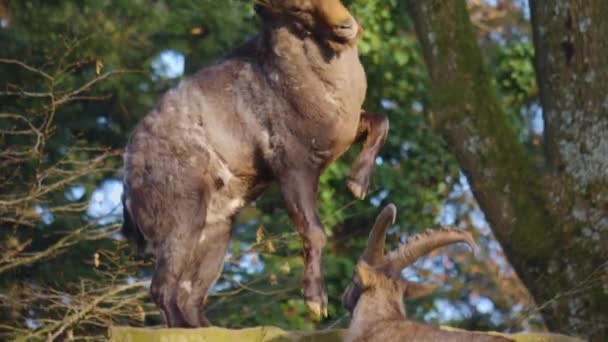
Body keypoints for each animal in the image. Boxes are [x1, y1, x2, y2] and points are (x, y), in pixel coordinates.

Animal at [121, 0, 390, 328]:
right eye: (298, 10)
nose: (347, 26)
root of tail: (127, 187)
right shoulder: (293, 166)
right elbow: (313, 230)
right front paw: (316, 302)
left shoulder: (345, 131)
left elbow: (381, 121)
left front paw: (357, 183)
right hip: (181, 222)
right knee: (162, 288)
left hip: (216, 234)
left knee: (189, 295)